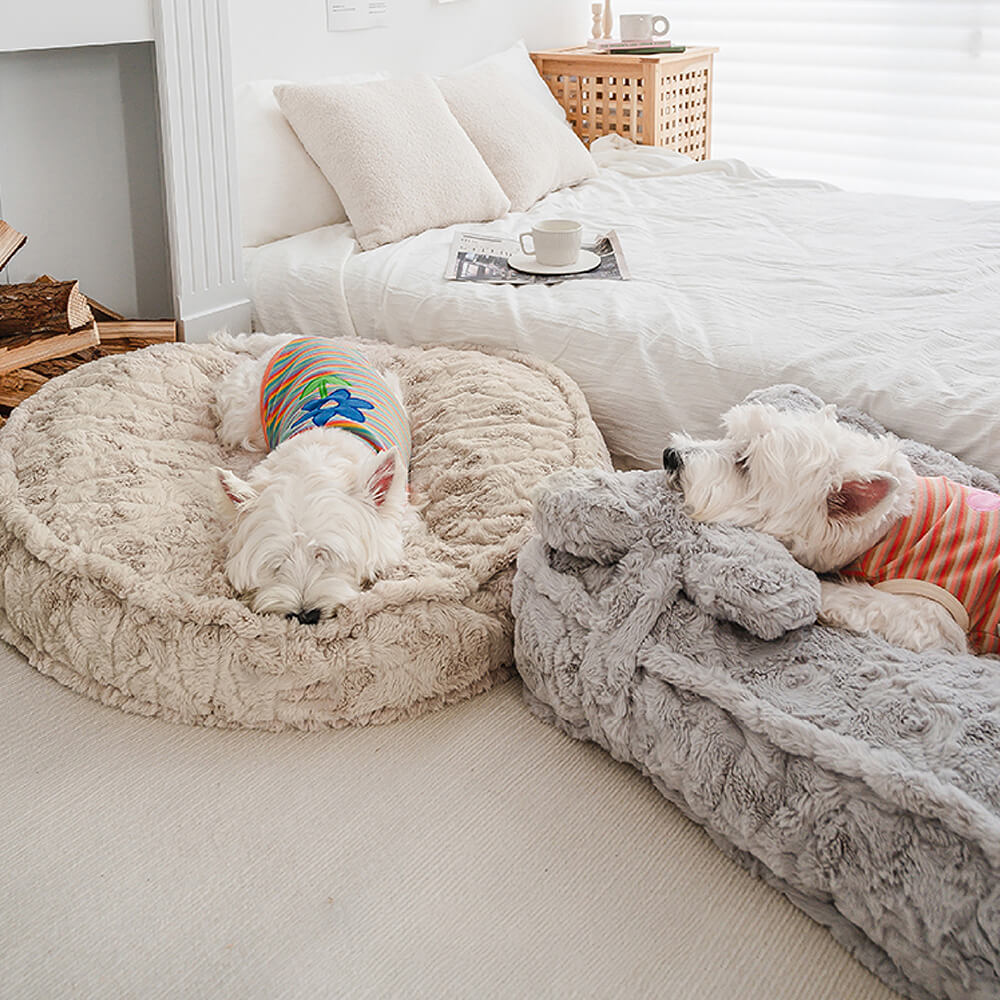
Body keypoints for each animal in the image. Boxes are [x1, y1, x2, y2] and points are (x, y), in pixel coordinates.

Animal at [213, 332, 412, 620]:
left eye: (326, 556)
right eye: (277, 563)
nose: (304, 614)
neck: (314, 458)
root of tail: (296, 338)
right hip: (242, 418)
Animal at [664, 400, 1000, 656]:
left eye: (744, 463)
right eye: (729, 437)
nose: (670, 455)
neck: (891, 527)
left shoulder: (931, 616)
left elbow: (859, 600)